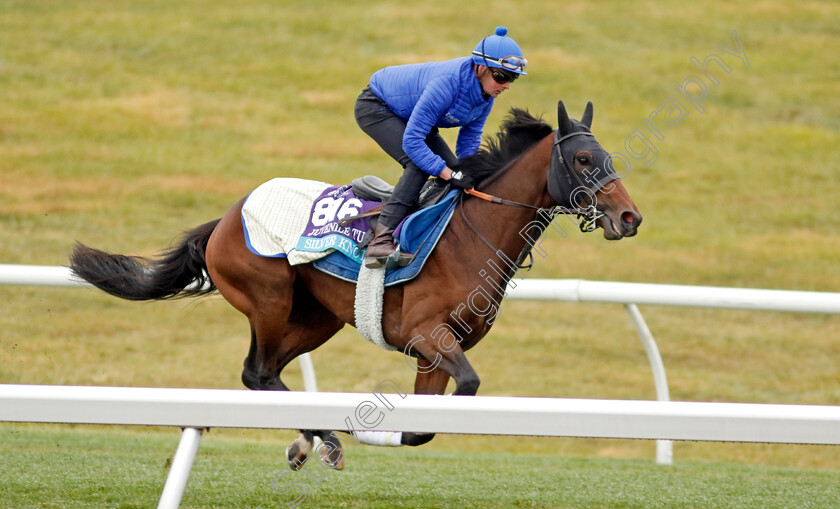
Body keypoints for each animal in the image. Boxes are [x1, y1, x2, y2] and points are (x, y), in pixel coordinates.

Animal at [70, 101, 644, 470]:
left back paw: (310, 441)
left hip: (316, 318)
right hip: (268, 297)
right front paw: (366, 429)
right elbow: (456, 396)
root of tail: (228, 216)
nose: (630, 217)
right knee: (257, 371)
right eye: (584, 159)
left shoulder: (435, 352)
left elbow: (426, 424)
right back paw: (323, 441)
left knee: (267, 373)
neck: (469, 235)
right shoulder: (426, 335)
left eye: (609, 157)